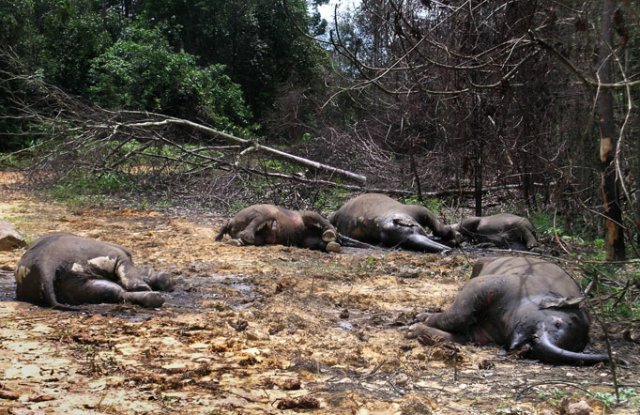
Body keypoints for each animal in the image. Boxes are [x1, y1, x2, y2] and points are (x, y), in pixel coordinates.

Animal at [15, 232, 174, 310]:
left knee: (113, 292)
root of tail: (46, 262)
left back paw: (154, 298)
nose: (170, 282)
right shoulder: (117, 256)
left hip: (76, 284)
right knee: (122, 284)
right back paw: (150, 293)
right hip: (103, 254)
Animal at [328, 193, 458, 254]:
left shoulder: (418, 210)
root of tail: (336, 213)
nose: (446, 250)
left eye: (411, 230)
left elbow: (437, 225)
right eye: (406, 243)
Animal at [408, 256, 628, 368]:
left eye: (574, 345)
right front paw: (421, 319)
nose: (531, 345)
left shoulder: (484, 333)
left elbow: (462, 335)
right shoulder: (485, 285)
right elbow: (459, 314)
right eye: (557, 323)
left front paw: (417, 328)